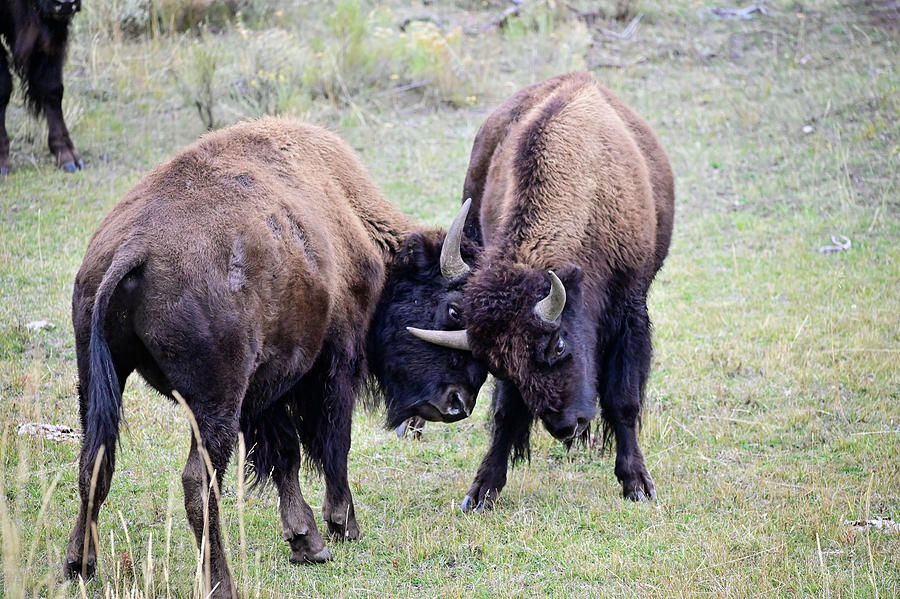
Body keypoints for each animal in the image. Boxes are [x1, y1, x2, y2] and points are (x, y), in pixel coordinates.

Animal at [0, 0, 83, 176]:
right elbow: (2, 87)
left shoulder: (52, 30)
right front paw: (1, 161)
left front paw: (67, 156)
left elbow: (51, 88)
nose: (66, 4)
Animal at [64, 115, 488, 596]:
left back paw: (80, 564)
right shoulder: (334, 365)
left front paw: (306, 540)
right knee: (198, 483)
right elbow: (332, 442)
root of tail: (134, 247)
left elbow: (284, 453)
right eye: (454, 309)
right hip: (215, 400)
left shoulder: (265, 390)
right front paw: (341, 525)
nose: (458, 404)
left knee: (94, 463)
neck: (354, 219)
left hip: (100, 376)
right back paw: (221, 582)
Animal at [412, 71, 672, 510]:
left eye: (558, 344)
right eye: (500, 367)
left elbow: (623, 400)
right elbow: (505, 411)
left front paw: (637, 484)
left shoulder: (631, 312)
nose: (568, 426)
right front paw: (481, 492)